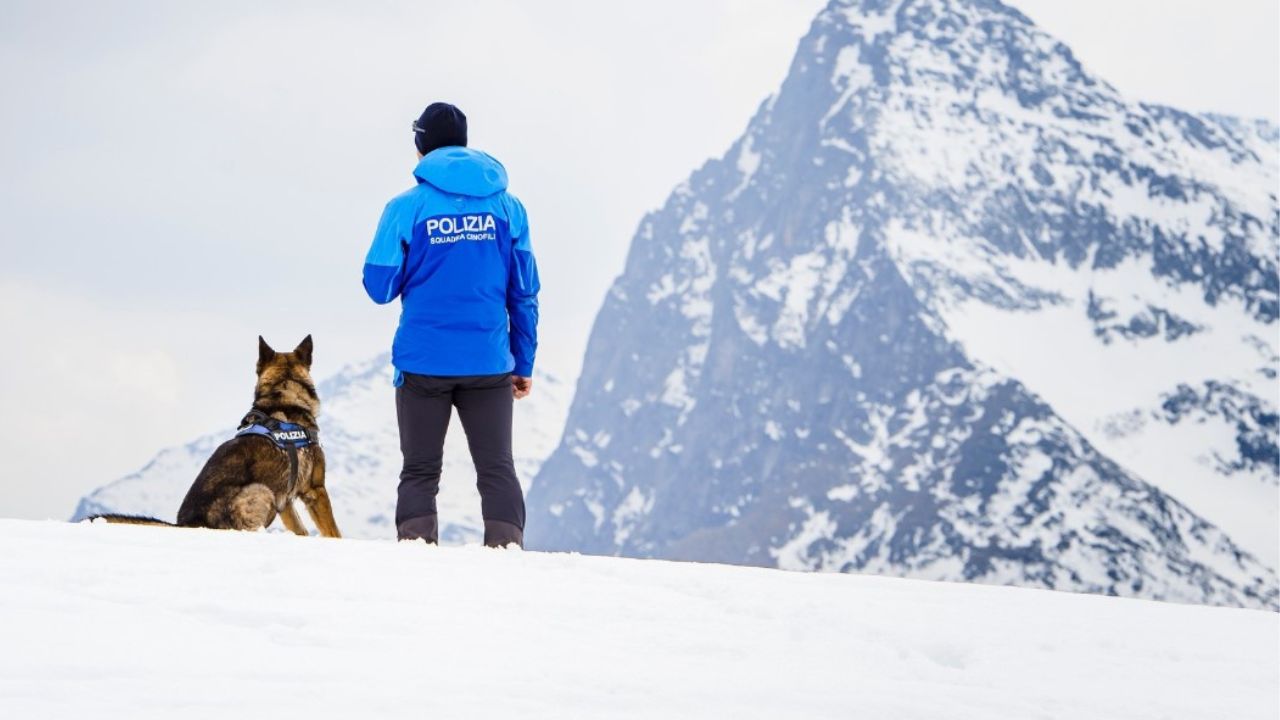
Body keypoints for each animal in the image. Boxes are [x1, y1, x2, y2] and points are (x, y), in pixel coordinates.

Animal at [92, 333, 340, 535]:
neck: (283, 396)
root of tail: (187, 525)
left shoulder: (286, 500)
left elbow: (301, 530)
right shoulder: (315, 491)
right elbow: (333, 532)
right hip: (261, 491)